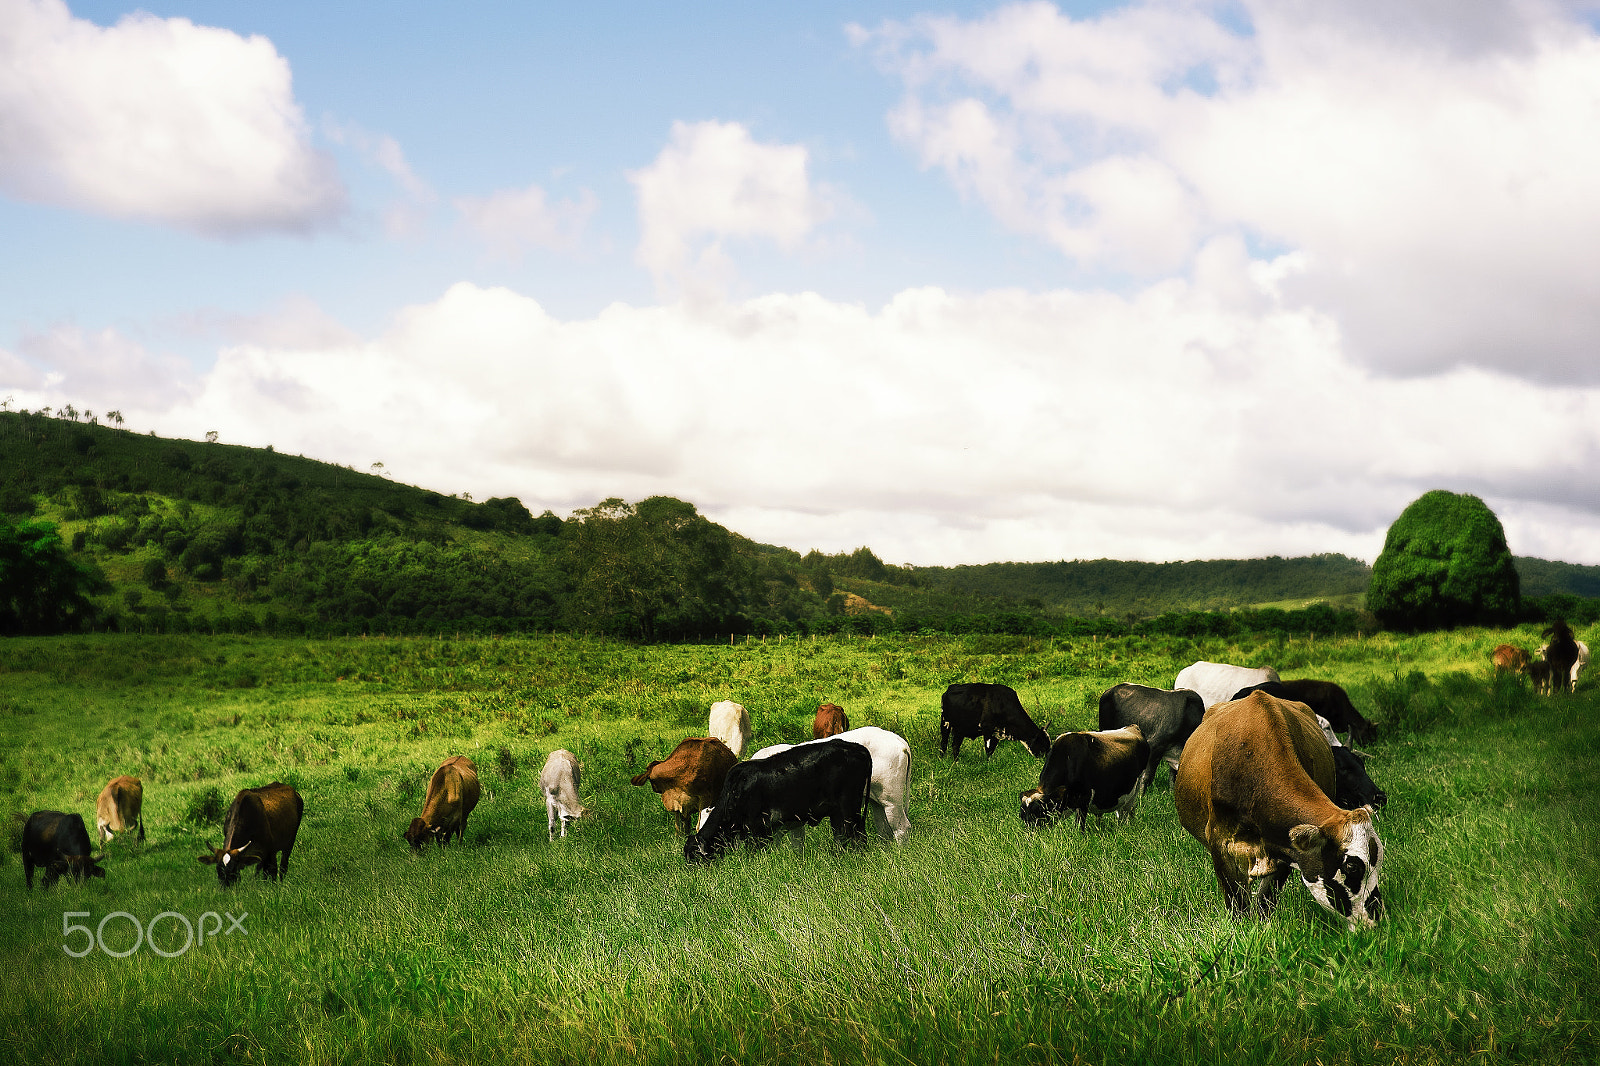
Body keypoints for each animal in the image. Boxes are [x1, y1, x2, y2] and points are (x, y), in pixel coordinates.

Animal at [681, 739, 870, 864]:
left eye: (695, 859)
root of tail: (856, 747)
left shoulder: (757, 831)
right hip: (839, 812)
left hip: (848, 808)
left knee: (855, 835)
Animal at [1024, 723, 1152, 832]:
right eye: (1022, 817)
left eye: (1038, 813)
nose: (1031, 838)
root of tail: (1133, 727)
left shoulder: (1084, 798)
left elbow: (1079, 826)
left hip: (1136, 788)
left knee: (1128, 810)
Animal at [1171, 694, 1382, 928]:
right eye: (1352, 867)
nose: (1377, 919)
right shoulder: (1220, 843)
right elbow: (1237, 904)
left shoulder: (1285, 847)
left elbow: (1266, 899)